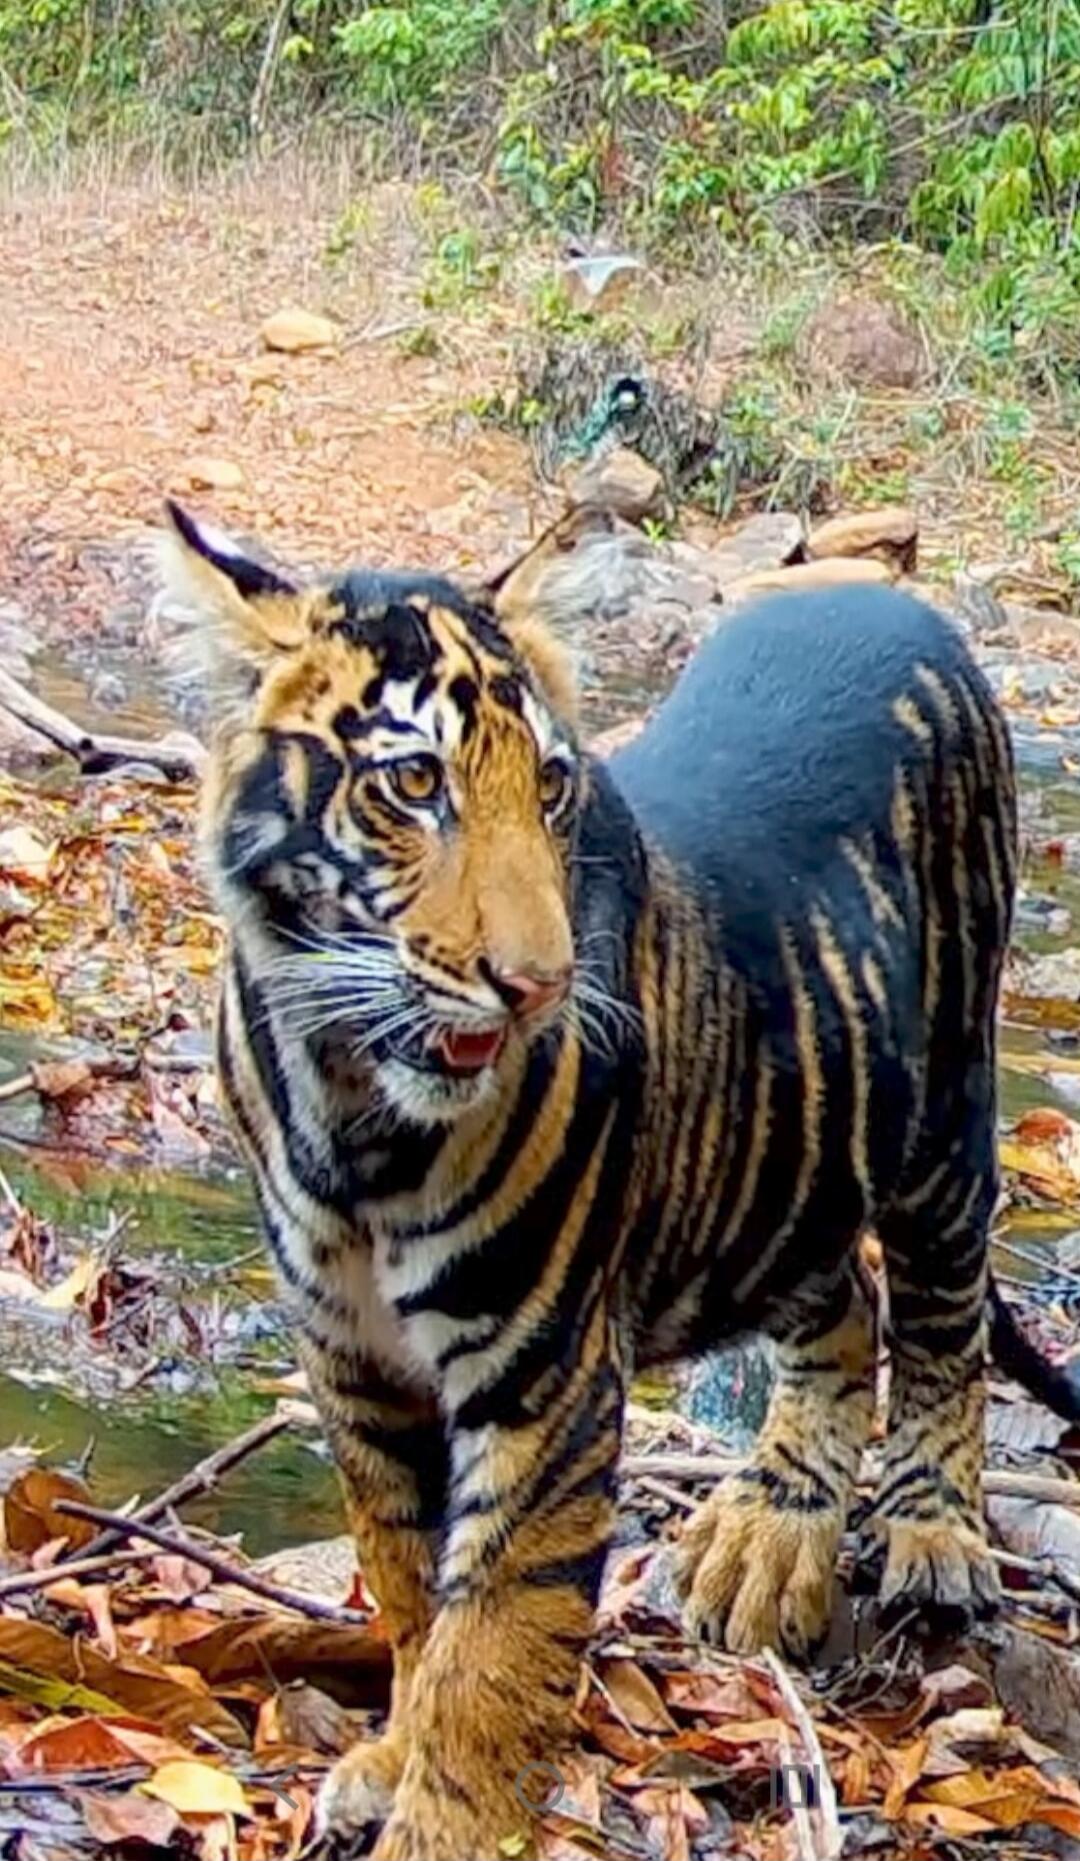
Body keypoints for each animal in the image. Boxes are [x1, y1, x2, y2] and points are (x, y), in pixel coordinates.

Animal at [161, 498, 1080, 1861]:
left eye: (547, 784)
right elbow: (405, 1578)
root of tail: (876, 596)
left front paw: (447, 1822)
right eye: (414, 784)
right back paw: (765, 1534)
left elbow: (496, 1638)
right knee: (844, 1307)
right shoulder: (351, 1358)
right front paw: (391, 1753)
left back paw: (929, 1531)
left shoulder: (542, 1372)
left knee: (935, 1320)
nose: (537, 984)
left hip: (944, 1123)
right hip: (778, 1176)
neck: (351, 1099)